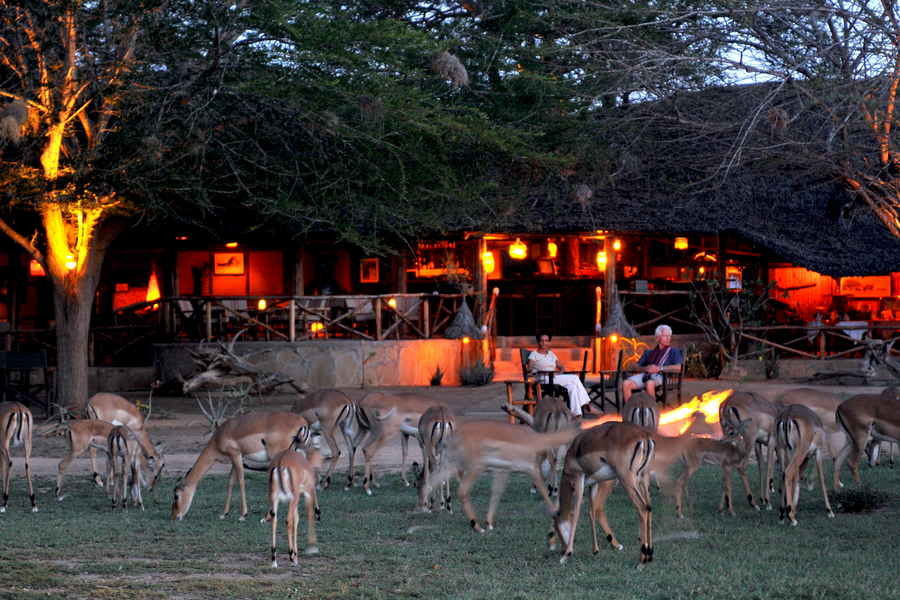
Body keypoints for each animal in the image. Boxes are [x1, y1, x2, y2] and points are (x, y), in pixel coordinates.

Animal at [171, 411, 312, 521]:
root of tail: (302, 422)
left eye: (176, 496)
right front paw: (224, 514)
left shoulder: (236, 455)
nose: (174, 516)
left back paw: (266, 517)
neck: (219, 437)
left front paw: (243, 515)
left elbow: (241, 481)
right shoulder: (236, 459)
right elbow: (230, 482)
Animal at [424, 420, 580, 533]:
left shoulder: (502, 471)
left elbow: (496, 493)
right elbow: (543, 490)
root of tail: (451, 437)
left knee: (430, 484)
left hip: (451, 466)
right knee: (461, 491)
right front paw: (557, 514)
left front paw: (489, 523)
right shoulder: (532, 469)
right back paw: (476, 526)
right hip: (474, 468)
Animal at [548, 422, 655, 565]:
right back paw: (649, 555)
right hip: (643, 478)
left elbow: (575, 513)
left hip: (627, 479)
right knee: (649, 507)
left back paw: (642, 559)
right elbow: (591, 511)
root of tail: (643, 436)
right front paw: (595, 550)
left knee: (642, 508)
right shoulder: (594, 483)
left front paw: (567, 555)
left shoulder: (578, 479)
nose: (562, 550)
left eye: (555, 528)